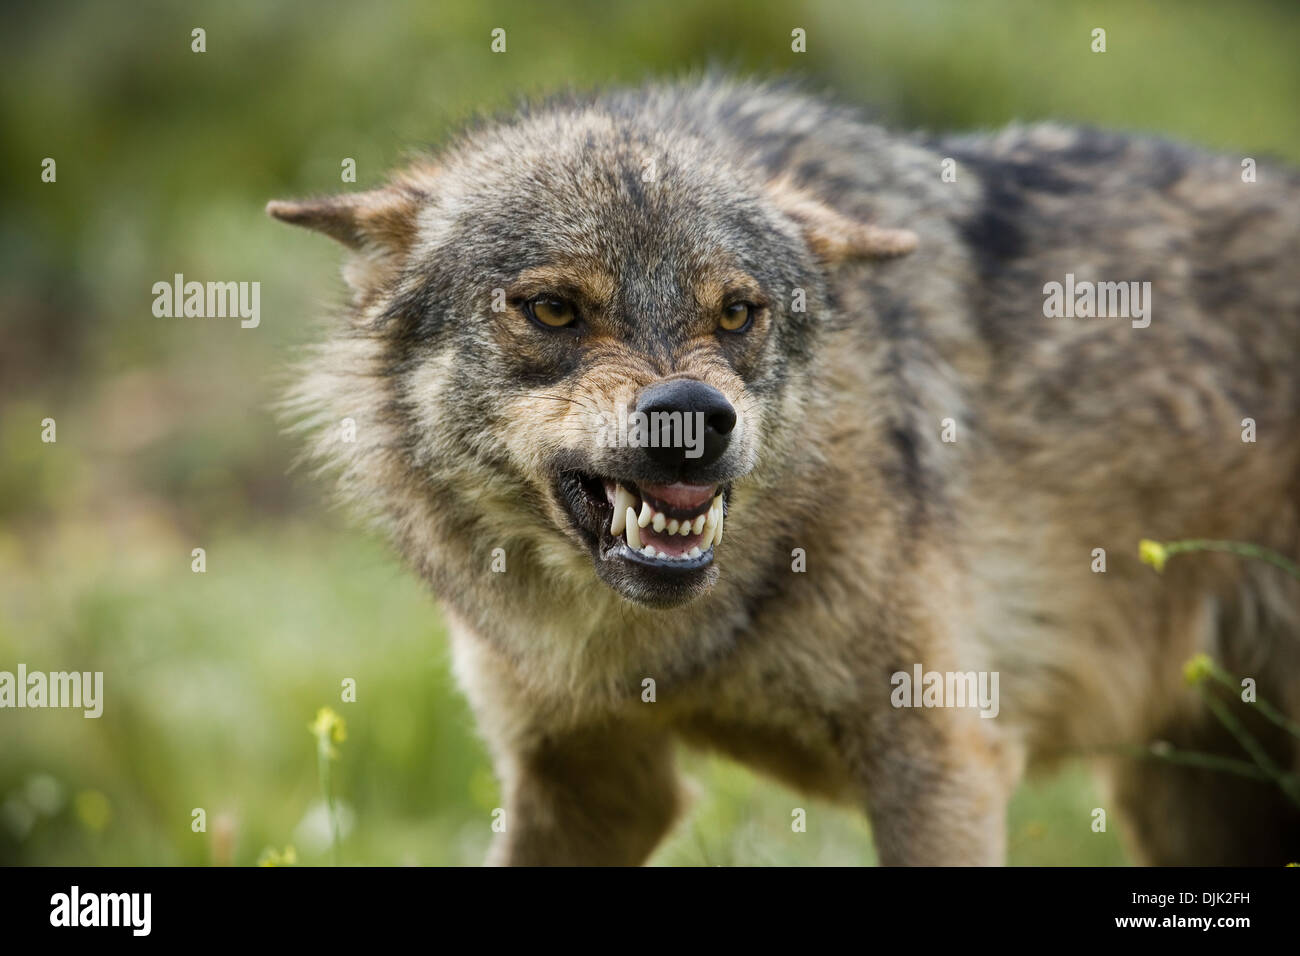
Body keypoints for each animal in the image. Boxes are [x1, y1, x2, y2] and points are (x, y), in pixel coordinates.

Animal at [269, 78, 1300, 865]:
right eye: (555, 309)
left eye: (737, 313)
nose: (694, 415)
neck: (663, 646)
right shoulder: (584, 782)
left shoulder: (942, 761)